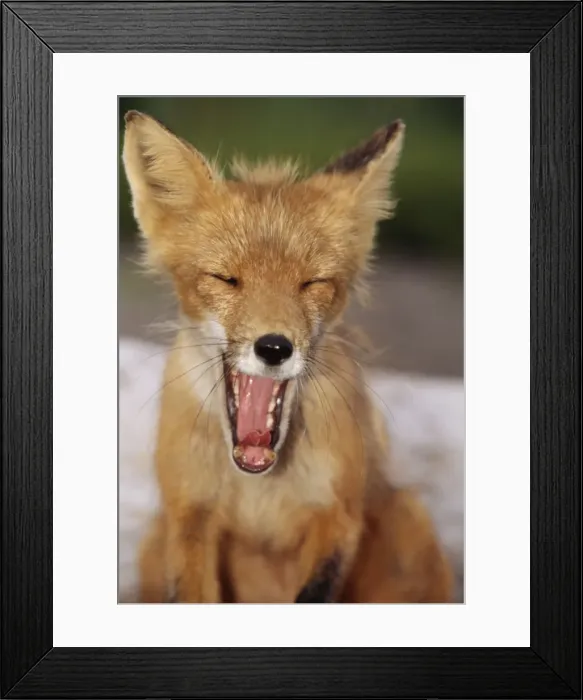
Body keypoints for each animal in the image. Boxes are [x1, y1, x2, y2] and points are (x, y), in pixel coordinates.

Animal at [122, 109, 454, 603]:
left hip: (409, 522)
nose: (274, 347)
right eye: (226, 278)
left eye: (312, 283)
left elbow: (315, 590)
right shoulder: (189, 514)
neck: (260, 488)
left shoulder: (337, 516)